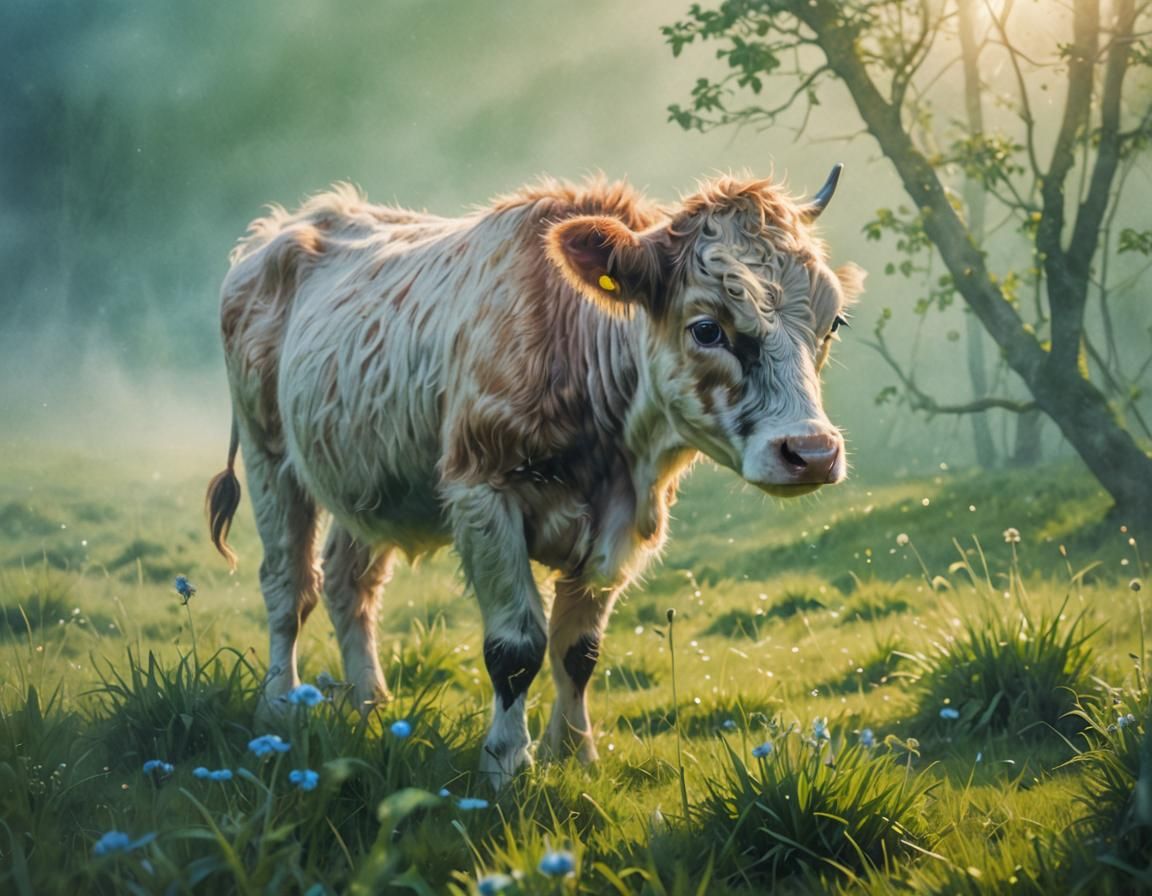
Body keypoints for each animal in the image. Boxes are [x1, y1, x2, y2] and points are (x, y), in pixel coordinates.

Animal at [206, 166, 863, 788]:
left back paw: (371, 705)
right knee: (289, 587)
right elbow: (515, 648)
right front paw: (504, 765)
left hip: (370, 483)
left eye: (833, 323)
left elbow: (578, 650)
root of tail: (284, 227)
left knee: (349, 585)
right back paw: (277, 709)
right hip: (269, 457)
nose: (811, 452)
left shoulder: (622, 525)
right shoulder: (483, 497)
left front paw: (574, 755)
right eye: (707, 328)